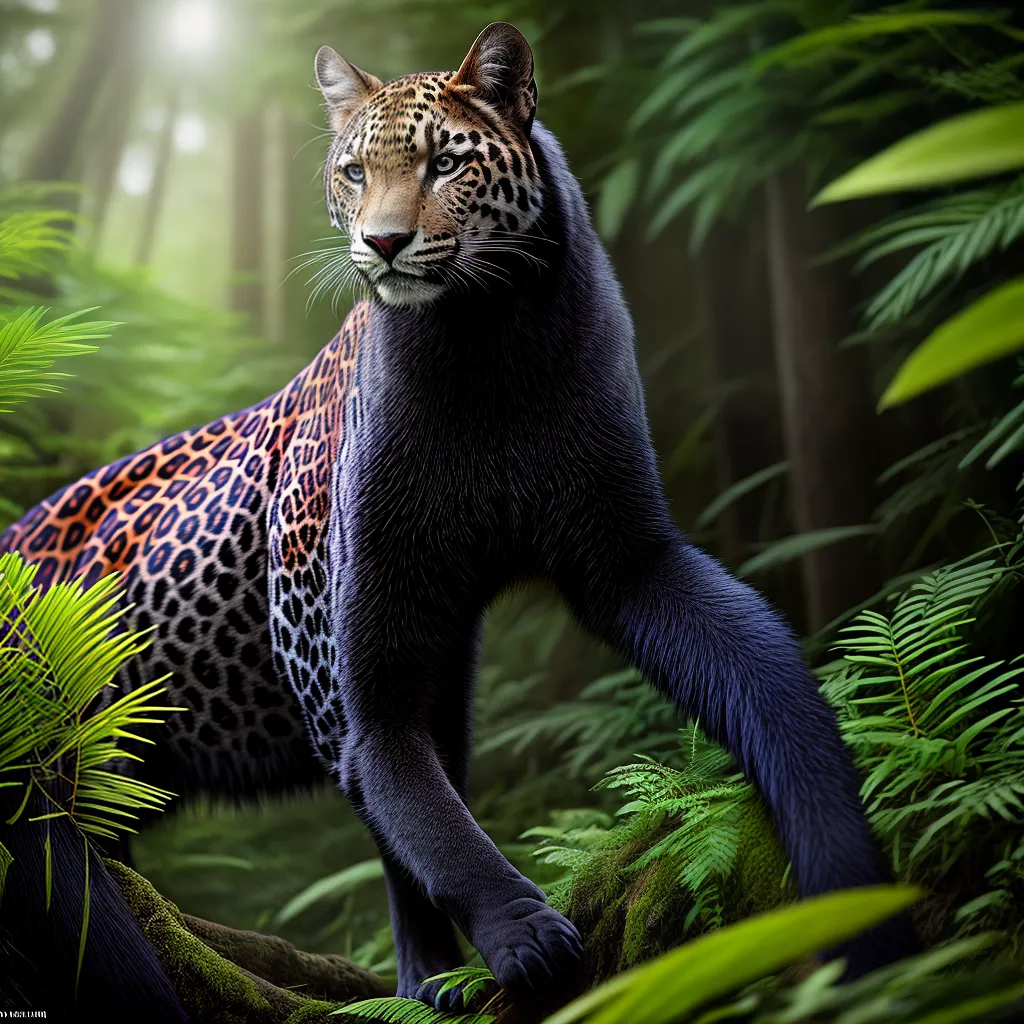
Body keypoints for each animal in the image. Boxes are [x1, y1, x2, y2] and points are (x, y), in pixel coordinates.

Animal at [0, 22, 918, 1020]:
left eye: (445, 163)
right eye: (355, 172)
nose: (384, 240)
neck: (490, 352)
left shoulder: (622, 560)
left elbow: (753, 664)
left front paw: (843, 854)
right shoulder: (365, 678)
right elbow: (423, 821)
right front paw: (504, 948)